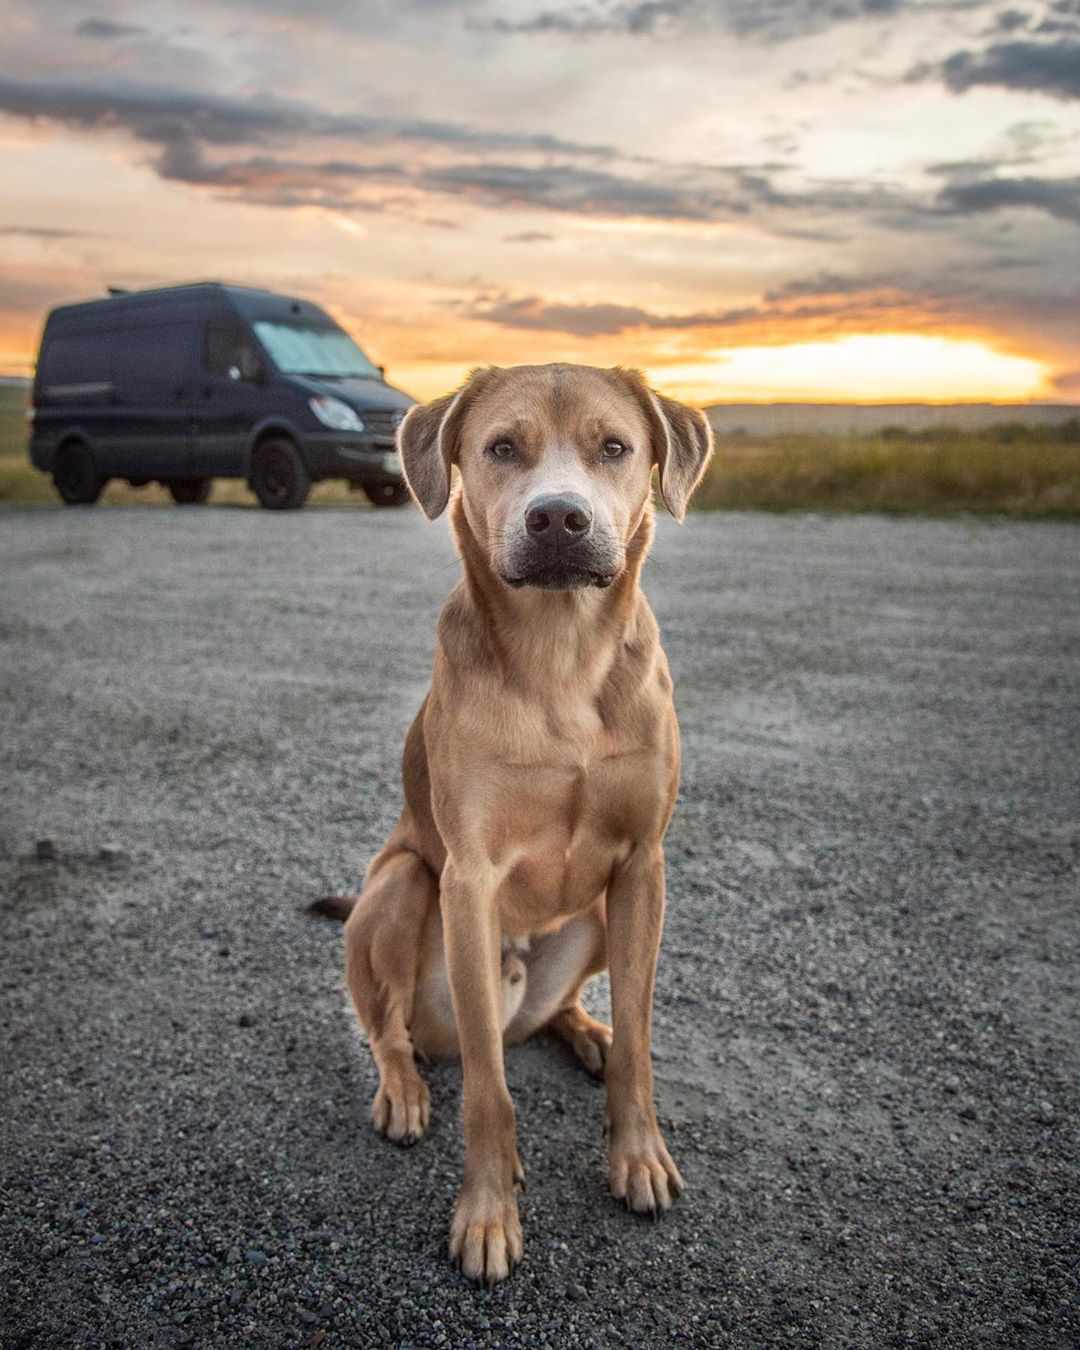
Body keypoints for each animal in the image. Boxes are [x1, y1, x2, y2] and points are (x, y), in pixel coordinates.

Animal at [311, 364, 712, 1279]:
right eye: (501, 448)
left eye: (614, 447)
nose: (559, 517)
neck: (560, 657)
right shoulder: (469, 879)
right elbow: (490, 1091)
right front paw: (489, 1215)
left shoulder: (643, 864)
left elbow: (641, 1042)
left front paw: (638, 1156)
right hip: (400, 889)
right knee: (391, 1030)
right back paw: (403, 1090)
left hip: (596, 913)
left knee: (564, 1012)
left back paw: (584, 1030)